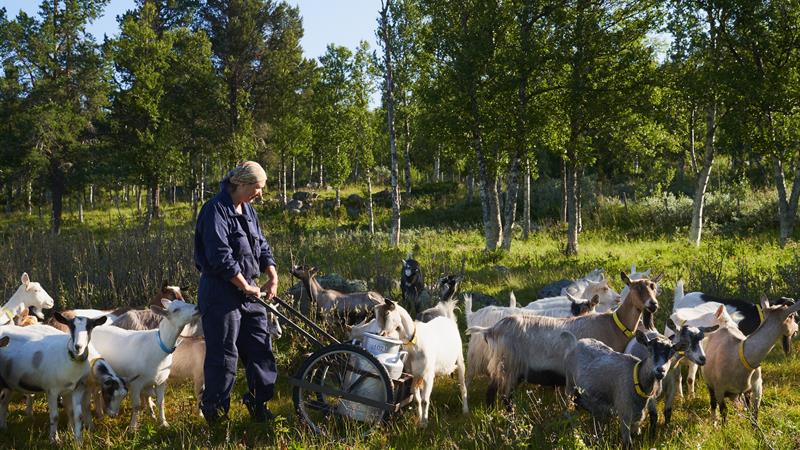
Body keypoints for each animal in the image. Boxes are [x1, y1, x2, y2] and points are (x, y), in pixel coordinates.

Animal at [0, 314, 107, 442]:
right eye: (71, 326)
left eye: (90, 327)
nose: (78, 347)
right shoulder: (52, 390)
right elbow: (55, 416)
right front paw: (54, 439)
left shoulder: (76, 389)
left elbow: (76, 414)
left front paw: (77, 439)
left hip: (10, 384)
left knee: (4, 402)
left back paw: (4, 428)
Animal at [90, 299, 199, 429]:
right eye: (176, 310)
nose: (198, 308)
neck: (159, 346)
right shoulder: (136, 383)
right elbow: (136, 405)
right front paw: (133, 427)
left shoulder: (161, 381)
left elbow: (161, 402)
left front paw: (163, 422)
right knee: (96, 392)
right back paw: (100, 414)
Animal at [467, 271, 661, 408]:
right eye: (636, 288)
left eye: (653, 287)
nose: (653, 305)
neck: (613, 324)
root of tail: (493, 329)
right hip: (508, 366)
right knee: (503, 396)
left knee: (492, 392)